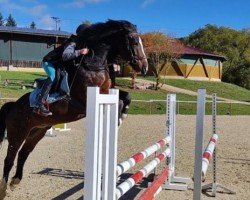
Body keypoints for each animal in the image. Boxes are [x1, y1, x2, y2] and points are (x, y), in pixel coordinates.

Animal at [0, 19, 147, 198]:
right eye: (134, 41)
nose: (145, 67)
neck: (94, 64)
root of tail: (13, 106)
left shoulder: (109, 90)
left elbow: (126, 96)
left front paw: (123, 114)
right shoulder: (85, 100)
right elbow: (118, 101)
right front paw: (118, 117)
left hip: (37, 131)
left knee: (23, 153)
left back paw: (15, 181)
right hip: (17, 133)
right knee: (10, 158)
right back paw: (3, 188)